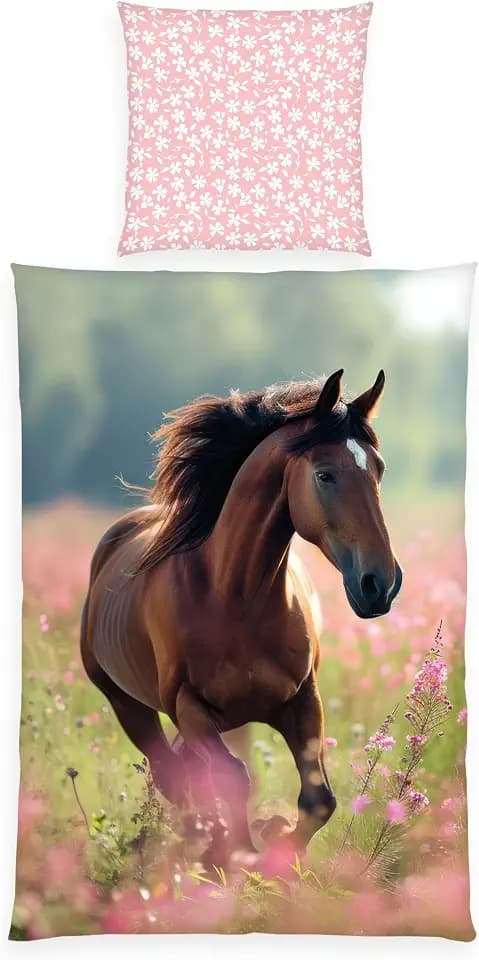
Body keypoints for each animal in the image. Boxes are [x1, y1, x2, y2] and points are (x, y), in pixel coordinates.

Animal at [81, 369, 402, 864]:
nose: (380, 585)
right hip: (130, 706)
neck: (236, 597)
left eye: (379, 469)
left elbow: (318, 799)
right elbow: (231, 782)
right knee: (175, 778)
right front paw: (240, 857)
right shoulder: (189, 706)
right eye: (325, 474)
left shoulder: (302, 699)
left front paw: (277, 855)